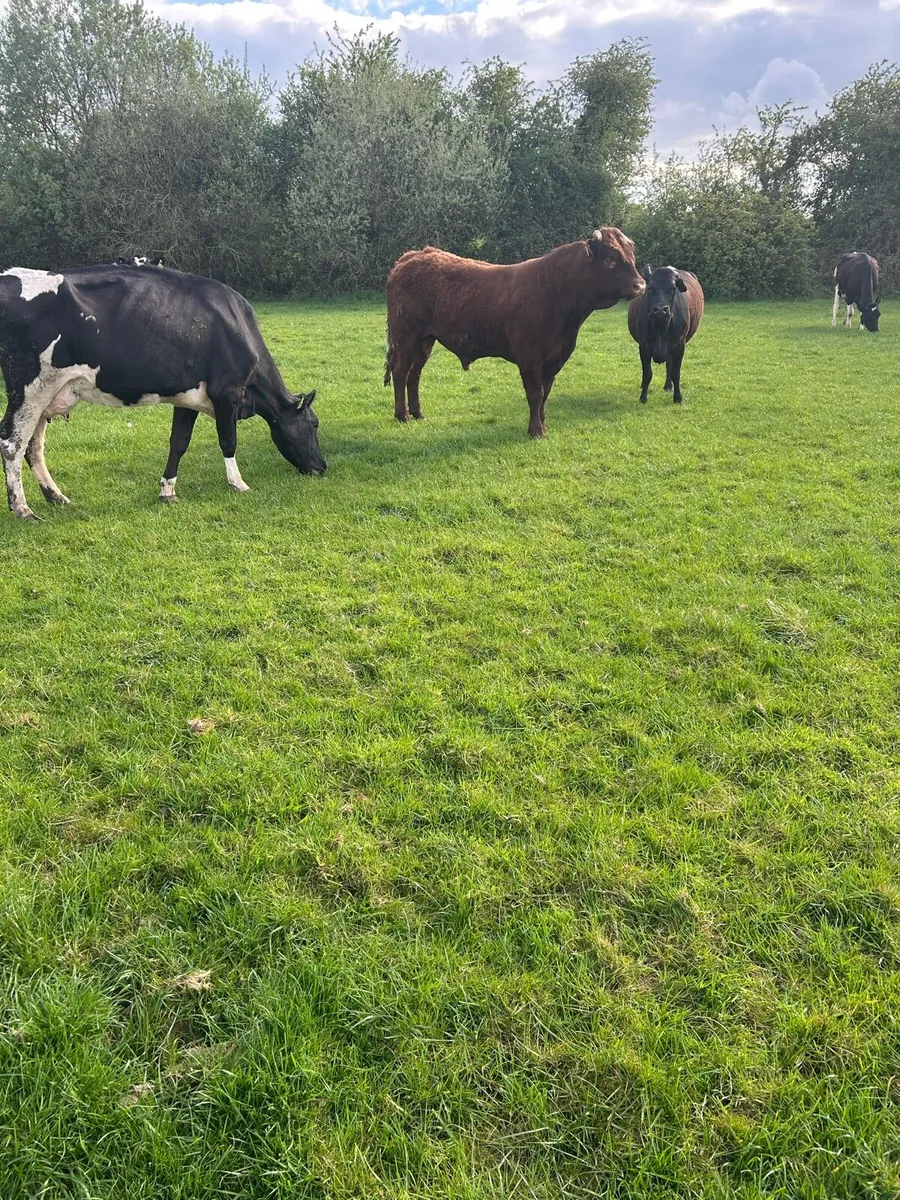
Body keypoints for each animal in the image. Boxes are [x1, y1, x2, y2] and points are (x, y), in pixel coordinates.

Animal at [0, 264, 325, 520]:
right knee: (12, 442)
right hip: (29, 388)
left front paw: (167, 490)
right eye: (313, 424)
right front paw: (238, 484)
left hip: (46, 393)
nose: (322, 467)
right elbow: (228, 440)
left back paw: (56, 497)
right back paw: (23, 509)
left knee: (33, 446)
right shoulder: (227, 391)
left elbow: (179, 442)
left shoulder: (188, 397)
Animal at [384, 228, 645, 438]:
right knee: (400, 373)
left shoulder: (555, 358)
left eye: (631, 256)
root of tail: (414, 255)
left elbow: (546, 393)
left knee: (414, 375)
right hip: (406, 337)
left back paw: (417, 412)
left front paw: (543, 425)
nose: (640, 285)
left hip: (425, 341)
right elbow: (535, 394)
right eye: (611, 259)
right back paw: (402, 415)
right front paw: (535, 430)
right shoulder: (529, 356)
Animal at [627, 265, 704, 406]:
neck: (660, 327)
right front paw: (643, 397)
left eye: (673, 289)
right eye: (650, 288)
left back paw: (668, 386)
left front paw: (678, 398)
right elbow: (647, 373)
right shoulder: (644, 345)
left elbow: (676, 373)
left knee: (669, 365)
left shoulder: (679, 345)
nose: (660, 310)